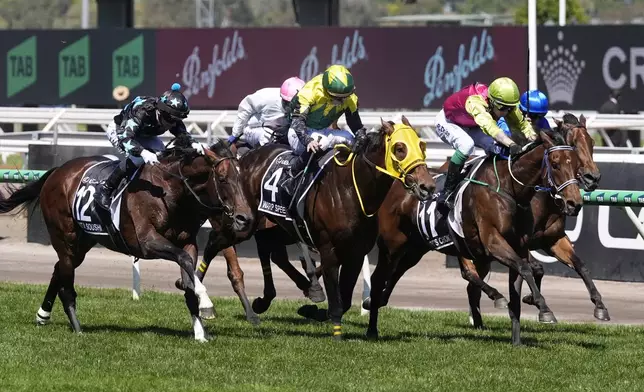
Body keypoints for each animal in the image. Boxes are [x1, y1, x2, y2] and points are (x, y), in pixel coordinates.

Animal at [0, 137, 252, 340]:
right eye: (222, 178)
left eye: (242, 177)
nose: (245, 218)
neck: (169, 190)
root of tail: (57, 172)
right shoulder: (147, 243)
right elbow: (185, 262)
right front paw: (206, 301)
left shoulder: (187, 241)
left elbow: (188, 271)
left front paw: (200, 332)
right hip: (65, 236)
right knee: (66, 281)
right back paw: (77, 327)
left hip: (83, 242)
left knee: (58, 269)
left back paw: (43, 315)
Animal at [184, 117, 440, 336]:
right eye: (399, 148)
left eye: (422, 146)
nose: (427, 186)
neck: (351, 191)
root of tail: (245, 157)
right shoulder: (329, 249)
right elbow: (336, 294)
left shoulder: (356, 253)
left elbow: (345, 299)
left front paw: (313, 308)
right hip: (244, 221)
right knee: (216, 242)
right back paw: (197, 292)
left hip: (279, 227)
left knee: (269, 249)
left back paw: (271, 298)